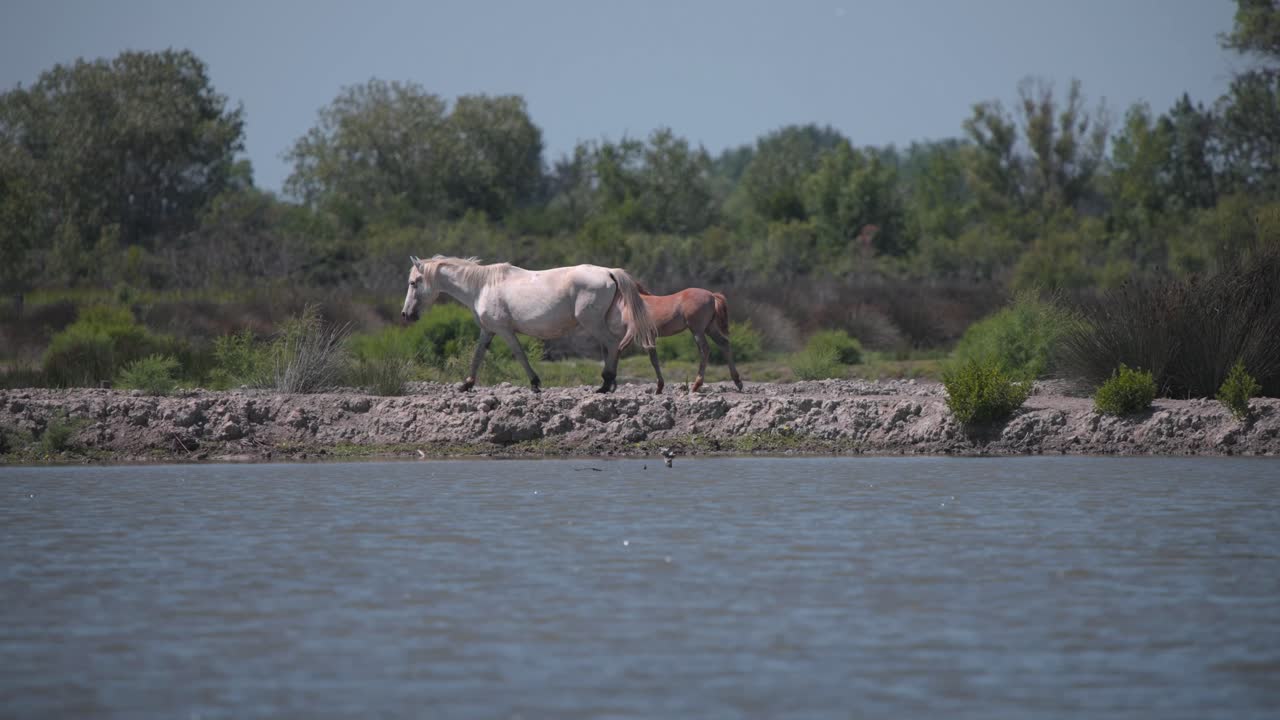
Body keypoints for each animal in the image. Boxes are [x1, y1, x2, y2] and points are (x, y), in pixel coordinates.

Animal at [401, 255, 657, 393]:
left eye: (413, 283)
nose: (406, 314)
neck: (481, 286)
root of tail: (609, 272)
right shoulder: (488, 331)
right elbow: (478, 355)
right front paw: (467, 384)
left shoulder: (504, 331)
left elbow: (518, 354)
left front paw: (535, 383)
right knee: (612, 347)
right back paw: (609, 384)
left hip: (592, 323)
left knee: (612, 344)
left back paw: (605, 384)